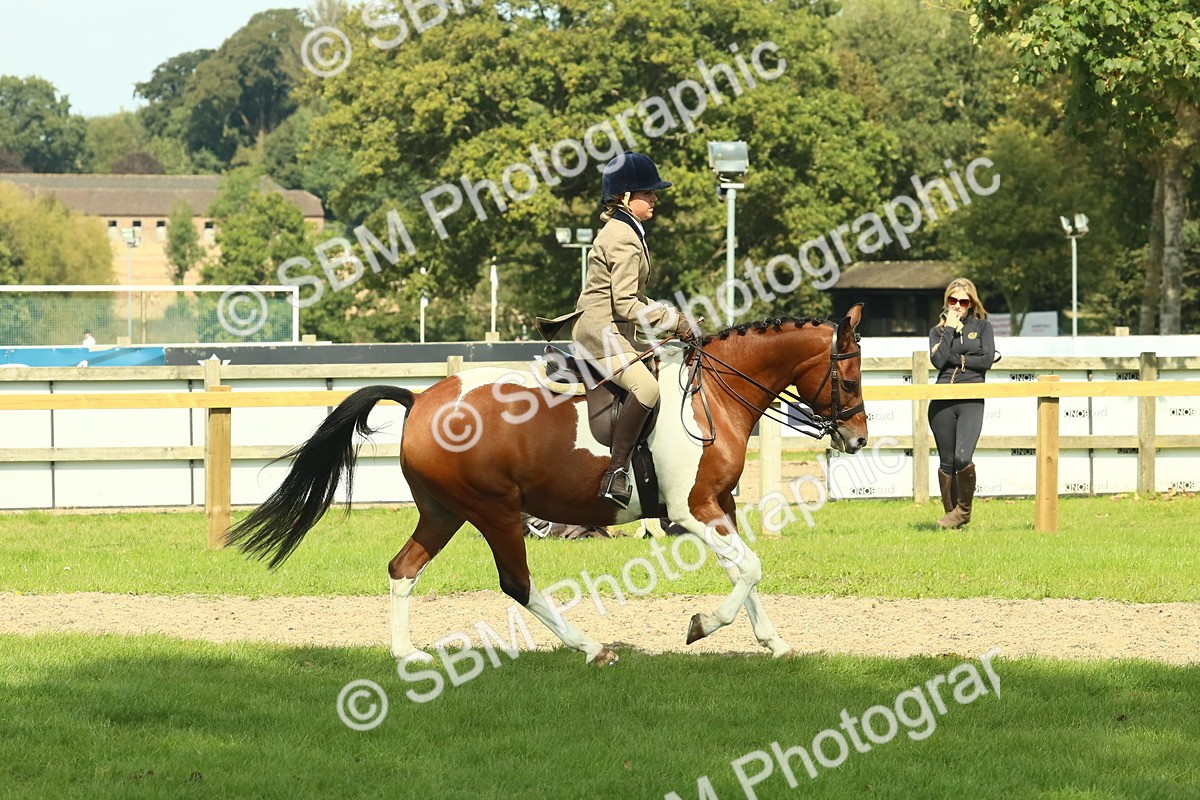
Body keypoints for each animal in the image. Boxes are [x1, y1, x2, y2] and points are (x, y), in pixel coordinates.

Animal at [227, 304, 867, 666]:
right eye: (850, 377)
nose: (858, 439)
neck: (711, 395)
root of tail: (422, 397)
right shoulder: (693, 510)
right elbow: (749, 568)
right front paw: (702, 626)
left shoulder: (720, 506)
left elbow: (745, 570)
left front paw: (773, 643)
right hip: (494, 511)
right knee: (517, 583)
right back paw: (591, 648)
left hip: (443, 511)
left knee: (403, 568)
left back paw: (407, 652)